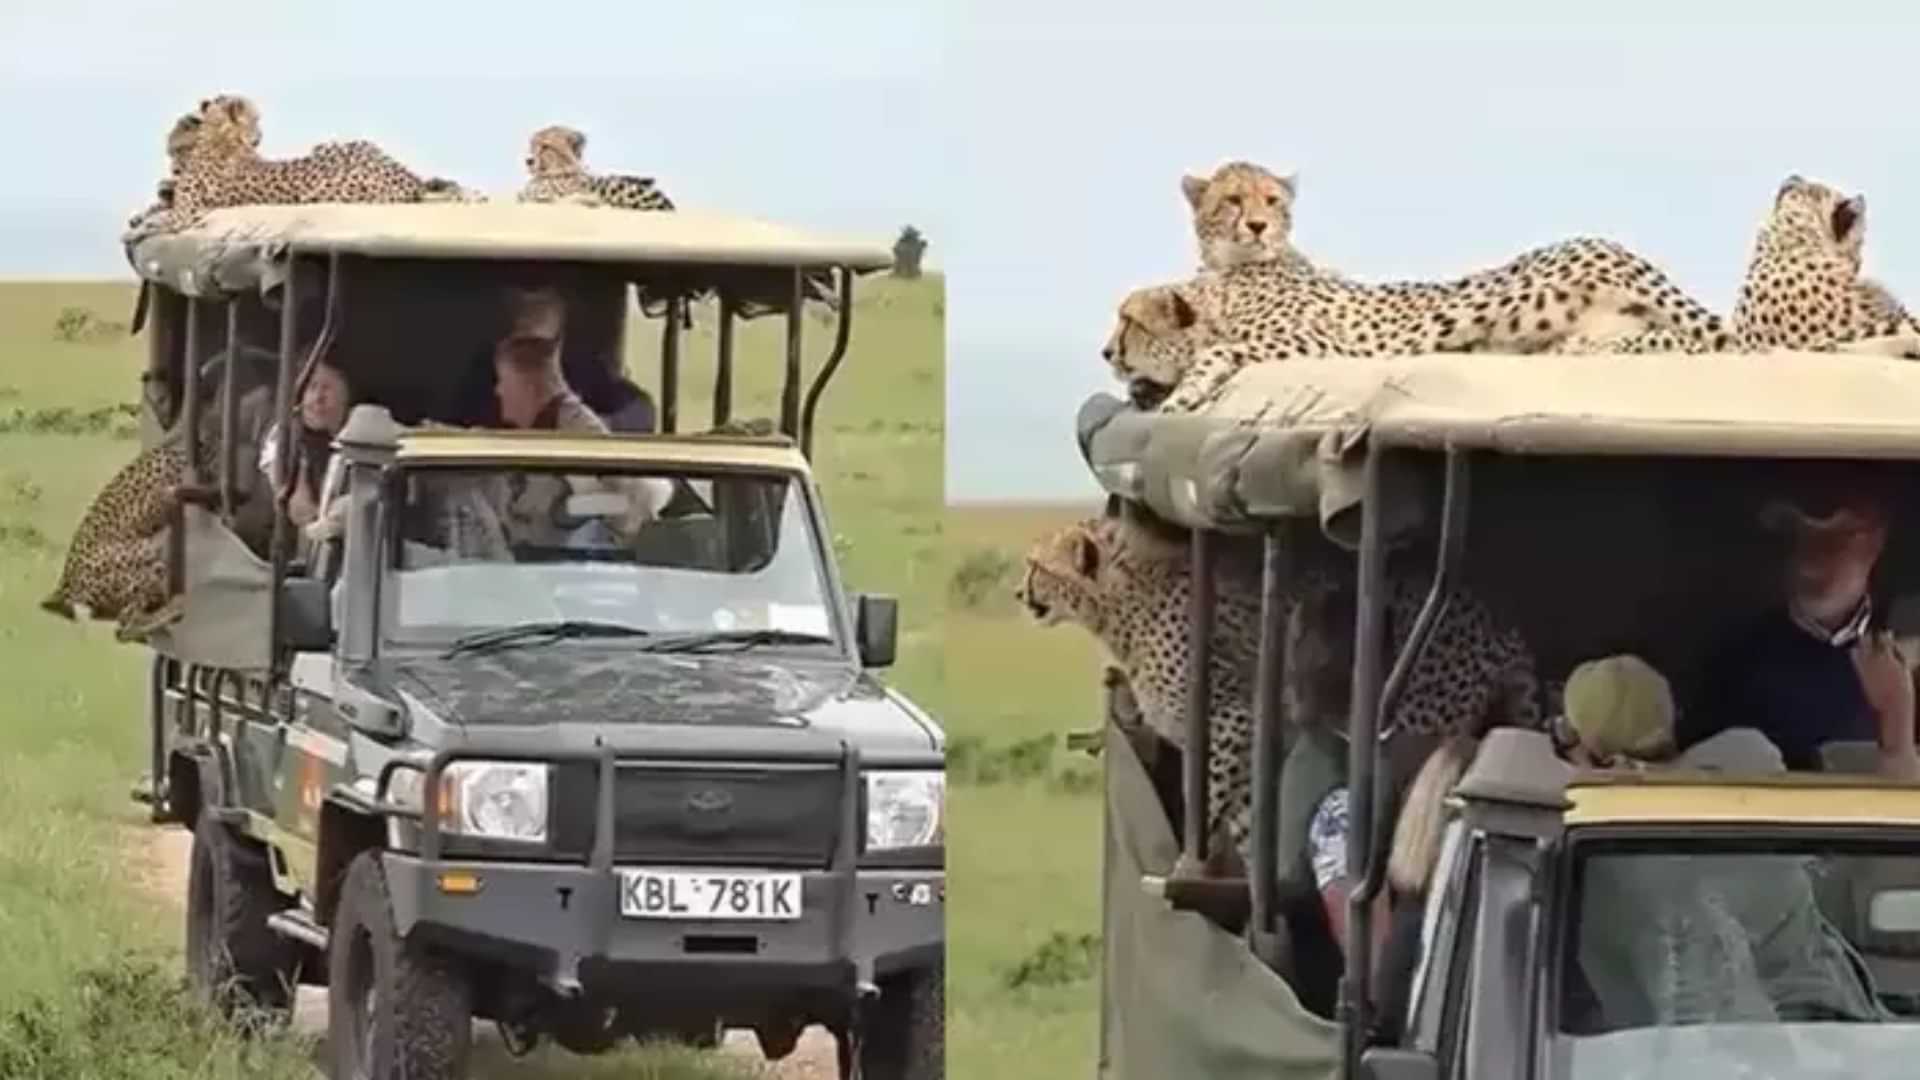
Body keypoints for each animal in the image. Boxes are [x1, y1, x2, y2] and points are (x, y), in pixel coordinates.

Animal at [125, 94, 479, 242]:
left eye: (175, 148)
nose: (260, 135)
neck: (220, 136)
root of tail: (408, 178)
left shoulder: (187, 212)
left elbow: (164, 217)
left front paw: (140, 227)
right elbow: (159, 205)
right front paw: (143, 214)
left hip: (329, 186)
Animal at [1015, 513, 1541, 875]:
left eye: (1036, 566)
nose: (1019, 594)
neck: (1122, 599)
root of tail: (1499, 618)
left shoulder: (1230, 719)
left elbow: (1207, 801)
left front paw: (1189, 869)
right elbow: (1247, 815)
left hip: (1418, 717)